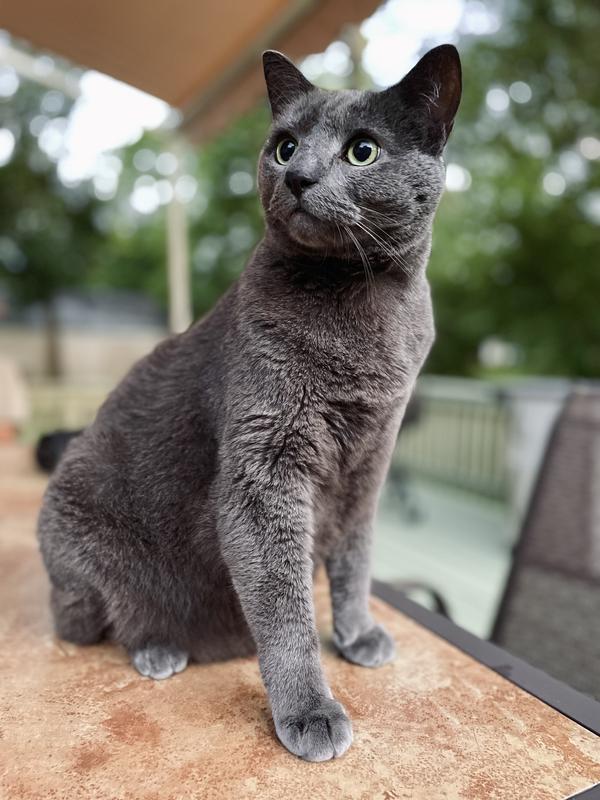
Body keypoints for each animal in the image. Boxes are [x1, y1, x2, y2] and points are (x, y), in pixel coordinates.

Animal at [37, 45, 462, 764]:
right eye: (284, 145)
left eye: (363, 151)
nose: (299, 175)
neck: (363, 305)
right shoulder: (264, 464)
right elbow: (285, 604)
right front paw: (310, 711)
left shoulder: (370, 460)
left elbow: (355, 558)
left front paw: (356, 634)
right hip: (73, 540)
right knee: (96, 621)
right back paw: (159, 646)